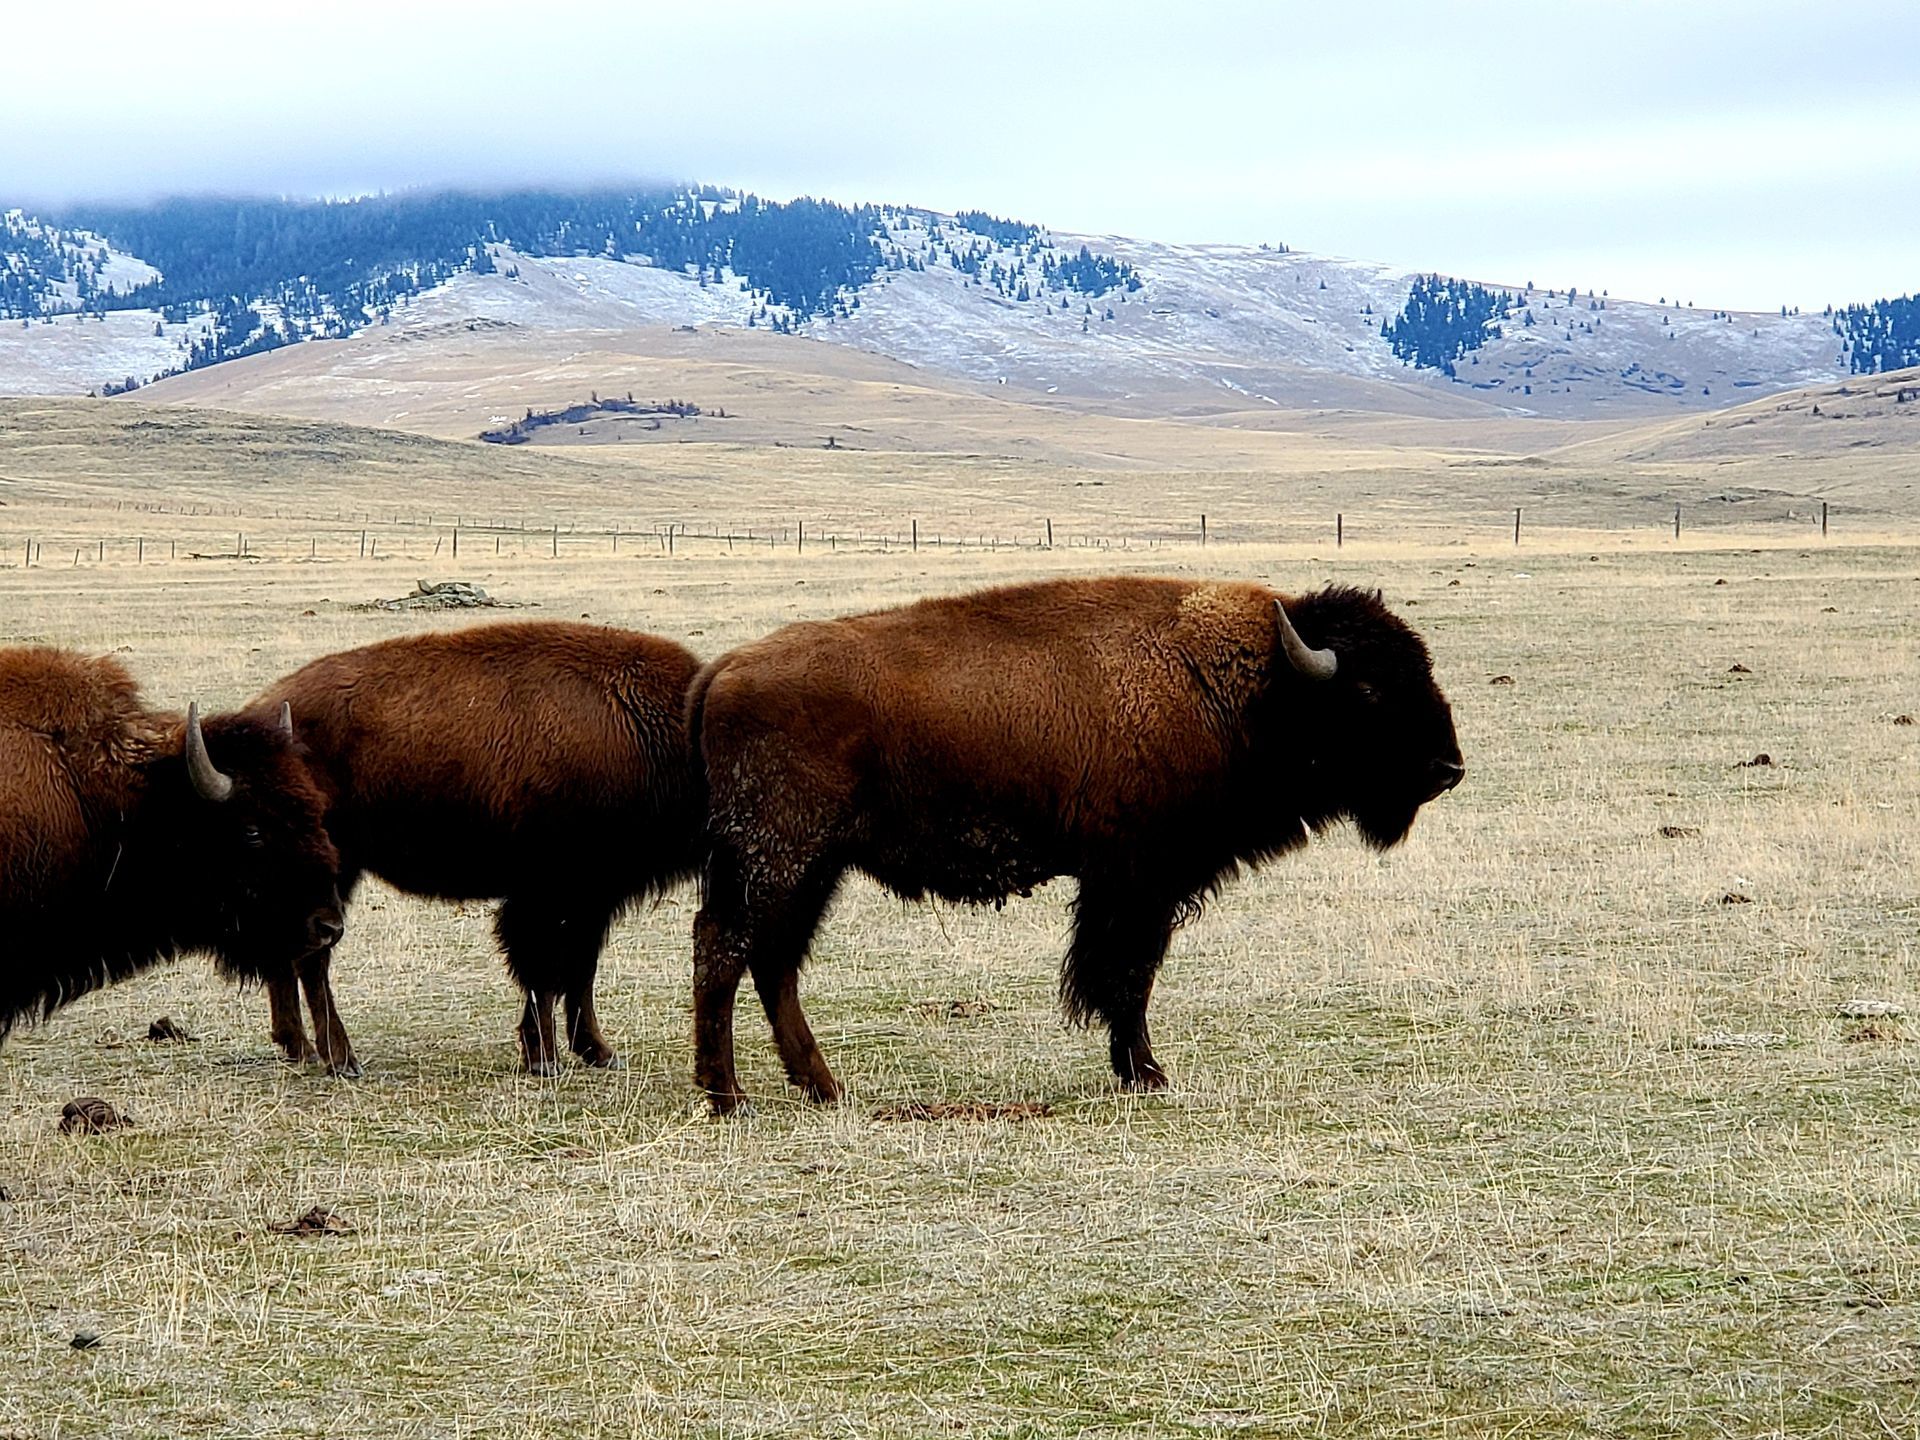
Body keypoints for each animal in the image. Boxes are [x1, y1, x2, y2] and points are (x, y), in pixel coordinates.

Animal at [248, 621, 703, 1076]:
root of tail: (269, 707)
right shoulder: (547, 897)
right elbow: (544, 972)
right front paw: (546, 1058)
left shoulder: (592, 899)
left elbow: (579, 970)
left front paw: (597, 1052)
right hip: (329, 870)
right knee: (312, 957)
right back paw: (341, 1059)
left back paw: (300, 1047)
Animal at [687, 576, 1463, 1113]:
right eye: (1369, 690)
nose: (1448, 768)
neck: (1248, 685)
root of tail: (722, 669)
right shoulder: (1136, 880)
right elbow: (1126, 975)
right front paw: (1145, 1074)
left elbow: (1122, 974)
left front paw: (1136, 1070)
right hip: (778, 859)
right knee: (727, 950)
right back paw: (730, 1098)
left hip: (812, 868)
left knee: (771, 962)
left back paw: (821, 1088)